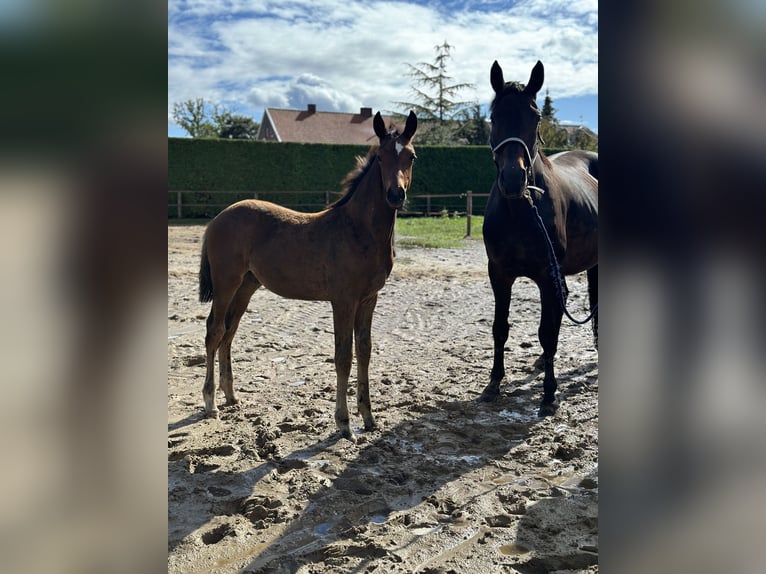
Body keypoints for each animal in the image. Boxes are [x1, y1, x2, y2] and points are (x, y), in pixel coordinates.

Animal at [196, 111, 414, 440]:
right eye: (381, 158)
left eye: (411, 156)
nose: (395, 194)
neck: (357, 230)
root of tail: (218, 218)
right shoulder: (343, 300)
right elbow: (343, 356)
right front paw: (343, 423)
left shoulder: (369, 299)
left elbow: (364, 351)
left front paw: (369, 417)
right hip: (226, 283)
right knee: (214, 330)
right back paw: (210, 403)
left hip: (246, 286)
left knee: (229, 332)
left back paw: (231, 396)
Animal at [480, 60, 600, 416]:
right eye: (495, 117)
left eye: (535, 118)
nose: (513, 178)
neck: (521, 209)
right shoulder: (499, 274)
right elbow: (500, 328)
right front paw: (494, 383)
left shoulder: (548, 277)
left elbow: (547, 332)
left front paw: (548, 394)